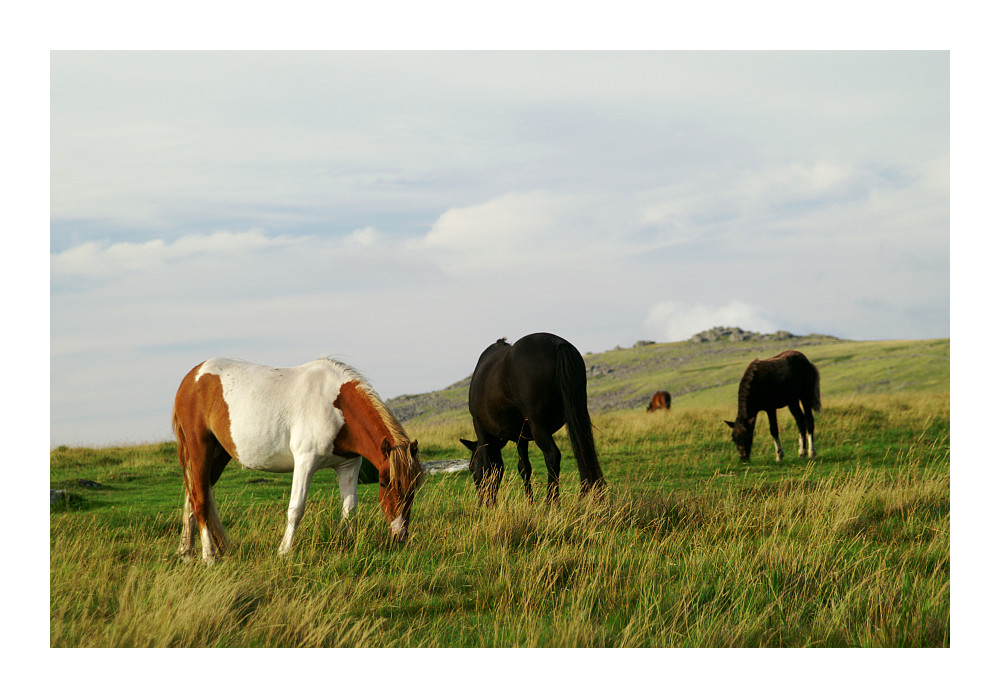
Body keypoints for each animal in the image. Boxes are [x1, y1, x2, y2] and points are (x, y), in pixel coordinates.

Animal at [173, 358, 422, 560]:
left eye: (414, 488)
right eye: (384, 483)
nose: (400, 535)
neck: (337, 407)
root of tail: (191, 378)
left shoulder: (348, 465)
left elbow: (349, 508)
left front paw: (345, 544)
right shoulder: (305, 462)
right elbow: (296, 509)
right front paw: (284, 551)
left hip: (217, 455)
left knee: (193, 496)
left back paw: (187, 552)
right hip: (200, 449)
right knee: (200, 499)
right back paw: (209, 556)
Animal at [458, 334, 604, 506]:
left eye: (471, 468)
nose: (482, 502)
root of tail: (556, 343)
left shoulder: (479, 425)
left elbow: (488, 465)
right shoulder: (521, 435)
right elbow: (524, 467)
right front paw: (530, 502)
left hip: (538, 425)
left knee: (552, 455)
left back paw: (552, 502)